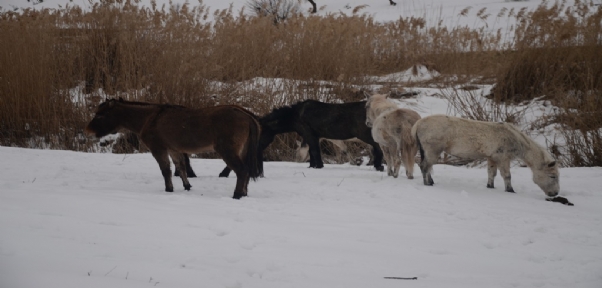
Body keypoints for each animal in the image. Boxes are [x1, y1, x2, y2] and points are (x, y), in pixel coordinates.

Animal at [85, 98, 262, 199]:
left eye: (100, 115)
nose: (88, 131)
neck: (148, 119)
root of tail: (247, 116)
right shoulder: (173, 149)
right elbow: (181, 167)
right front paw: (187, 187)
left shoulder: (158, 148)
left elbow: (166, 170)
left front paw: (169, 189)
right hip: (242, 150)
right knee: (246, 171)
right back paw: (244, 193)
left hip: (227, 150)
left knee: (242, 171)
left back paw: (237, 194)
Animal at [218, 99, 382, 177]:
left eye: (261, 134)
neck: (295, 115)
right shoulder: (313, 136)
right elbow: (312, 154)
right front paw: (313, 167)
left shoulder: (311, 135)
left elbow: (315, 153)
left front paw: (318, 166)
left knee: (378, 148)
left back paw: (378, 166)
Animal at [410, 115, 560, 198]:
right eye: (552, 176)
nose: (555, 194)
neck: (514, 139)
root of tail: (418, 124)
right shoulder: (503, 158)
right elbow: (507, 176)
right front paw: (510, 190)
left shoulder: (491, 157)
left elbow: (491, 173)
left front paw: (490, 186)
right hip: (432, 150)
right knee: (425, 166)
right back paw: (427, 183)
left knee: (426, 166)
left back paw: (431, 181)